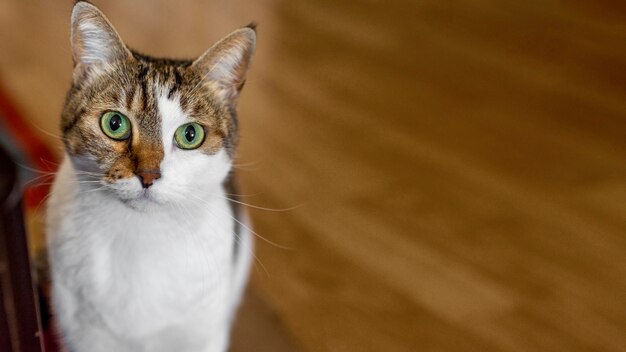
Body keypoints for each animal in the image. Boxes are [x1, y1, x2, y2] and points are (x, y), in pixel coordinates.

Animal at [45, 1, 256, 350]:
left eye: (190, 134)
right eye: (114, 124)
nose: (148, 174)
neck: (140, 235)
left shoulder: (202, 330)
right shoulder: (85, 330)